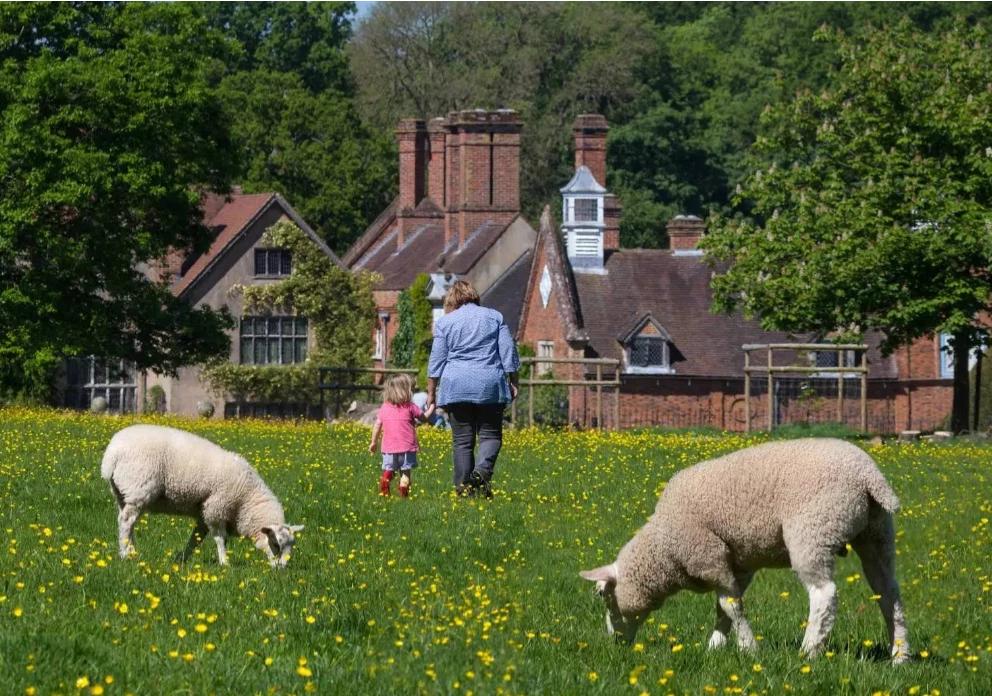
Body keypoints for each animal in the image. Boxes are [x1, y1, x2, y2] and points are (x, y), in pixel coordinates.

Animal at [101, 424, 304, 564]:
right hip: (139, 489)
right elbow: (220, 539)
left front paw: (182, 559)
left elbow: (196, 539)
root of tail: (111, 453)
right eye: (276, 544)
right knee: (126, 522)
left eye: (291, 546)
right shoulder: (216, 508)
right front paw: (225, 563)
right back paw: (125, 554)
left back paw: (132, 551)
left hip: (122, 493)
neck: (247, 500)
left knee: (127, 522)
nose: (281, 570)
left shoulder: (204, 513)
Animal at [580, 440, 916, 664]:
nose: (614, 642)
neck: (665, 547)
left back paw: (808, 652)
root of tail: (868, 475)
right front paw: (715, 647)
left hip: (812, 531)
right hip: (876, 534)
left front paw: (748, 649)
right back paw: (899, 655)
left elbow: (731, 607)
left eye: (603, 595)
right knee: (889, 593)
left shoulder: (708, 556)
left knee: (824, 594)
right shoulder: (736, 566)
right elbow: (724, 608)